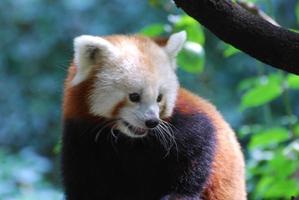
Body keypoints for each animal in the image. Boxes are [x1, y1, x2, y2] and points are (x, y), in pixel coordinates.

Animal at [61, 31, 246, 200]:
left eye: (159, 98)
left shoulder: (183, 124)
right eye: (134, 96)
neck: (128, 140)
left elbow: (201, 146)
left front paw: (179, 194)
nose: (152, 122)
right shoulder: (80, 138)